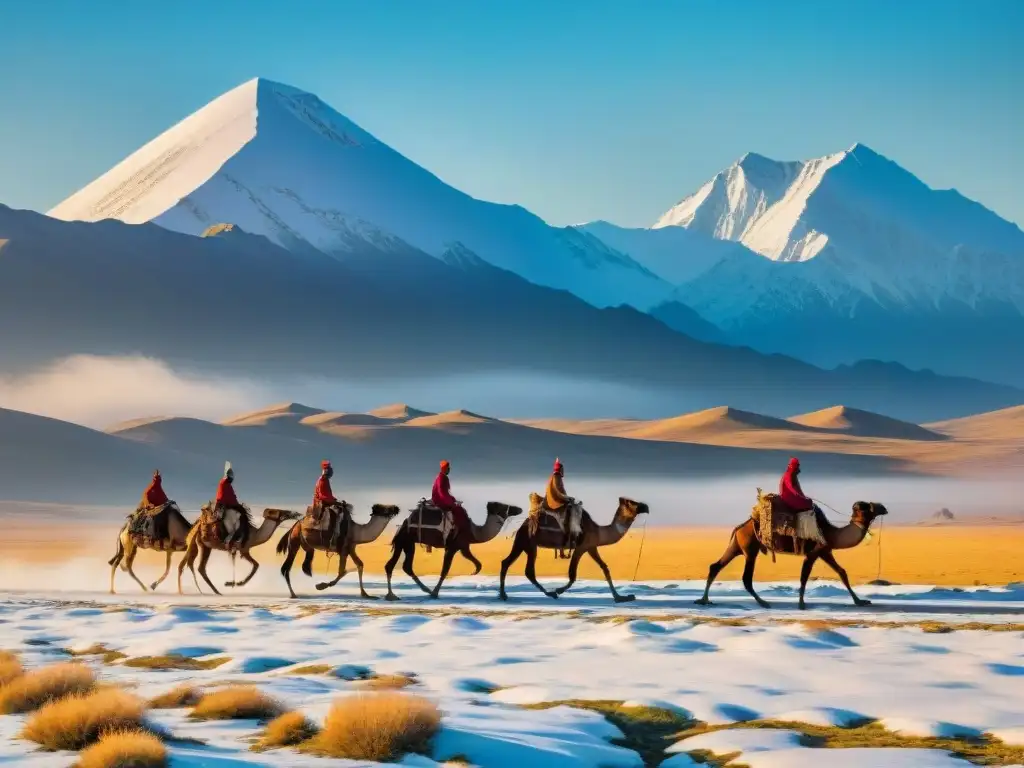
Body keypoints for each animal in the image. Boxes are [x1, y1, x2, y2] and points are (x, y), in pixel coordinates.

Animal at [387, 501, 524, 606]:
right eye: (504, 507)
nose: (519, 509)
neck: (474, 532)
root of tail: (404, 523)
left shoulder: (463, 546)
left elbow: (477, 563)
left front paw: (473, 572)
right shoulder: (453, 547)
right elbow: (445, 570)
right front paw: (435, 593)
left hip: (406, 542)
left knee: (400, 566)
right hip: (405, 539)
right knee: (398, 565)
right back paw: (396, 595)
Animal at [497, 499, 647, 606]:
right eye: (633, 503)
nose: (646, 506)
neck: (599, 531)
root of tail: (523, 525)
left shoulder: (591, 547)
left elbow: (604, 568)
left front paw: (621, 597)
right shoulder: (581, 547)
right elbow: (573, 575)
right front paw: (559, 590)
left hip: (523, 544)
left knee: (507, 563)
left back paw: (504, 595)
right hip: (529, 542)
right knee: (528, 571)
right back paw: (550, 594)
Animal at [696, 501, 888, 610]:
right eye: (868, 506)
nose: (884, 508)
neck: (832, 533)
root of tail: (741, 526)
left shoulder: (825, 551)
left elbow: (842, 573)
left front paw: (860, 602)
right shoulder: (813, 553)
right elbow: (804, 577)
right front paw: (802, 604)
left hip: (737, 546)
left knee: (716, 566)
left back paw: (704, 600)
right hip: (750, 548)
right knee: (746, 578)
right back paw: (763, 602)